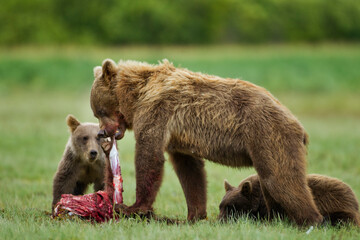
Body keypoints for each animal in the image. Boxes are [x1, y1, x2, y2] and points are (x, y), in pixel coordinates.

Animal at [90, 59, 324, 226]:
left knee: (280, 178)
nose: (102, 132)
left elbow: (149, 157)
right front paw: (194, 215)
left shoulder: (156, 113)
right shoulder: (178, 138)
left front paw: (133, 207)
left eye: (98, 111)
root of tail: (298, 125)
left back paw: (312, 220)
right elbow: (190, 171)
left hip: (269, 135)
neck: (136, 94)